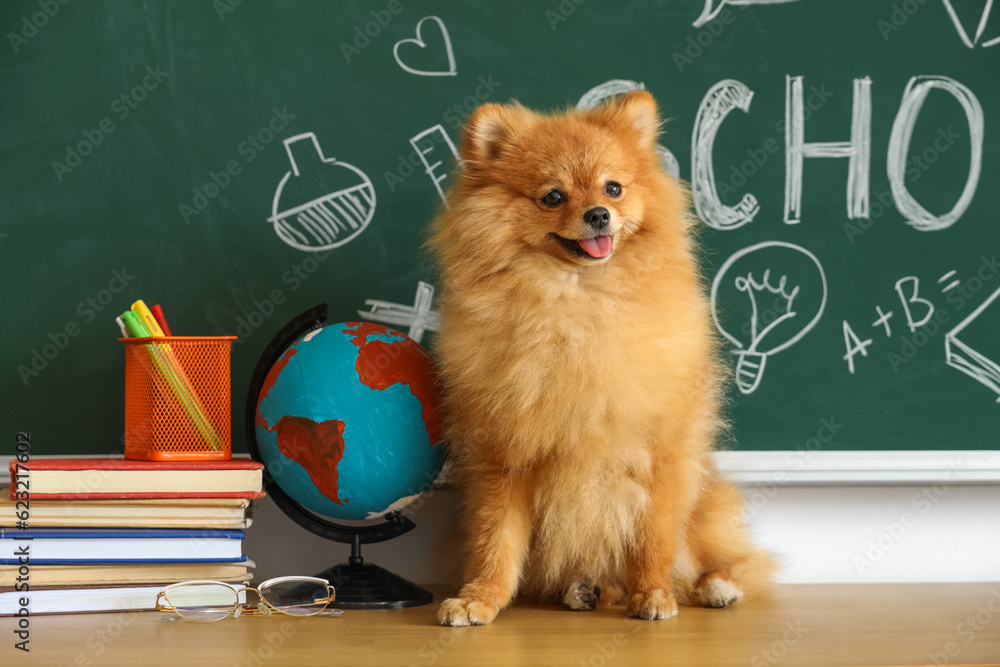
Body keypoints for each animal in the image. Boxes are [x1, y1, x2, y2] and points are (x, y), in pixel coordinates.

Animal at [430, 90, 772, 628]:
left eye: (613, 188)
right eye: (553, 196)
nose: (597, 214)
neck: (578, 307)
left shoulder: (660, 453)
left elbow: (653, 537)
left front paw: (652, 594)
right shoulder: (503, 458)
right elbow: (495, 541)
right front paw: (479, 599)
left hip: (703, 499)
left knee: (712, 554)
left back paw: (714, 587)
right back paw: (587, 589)